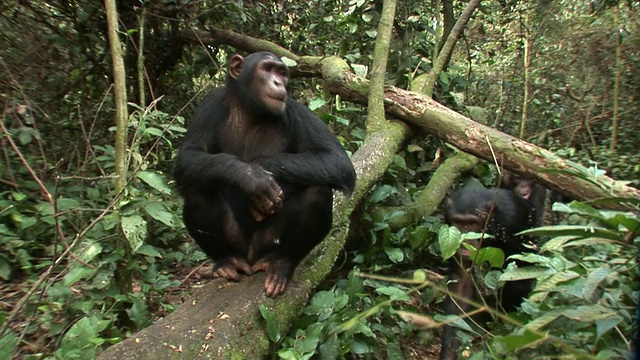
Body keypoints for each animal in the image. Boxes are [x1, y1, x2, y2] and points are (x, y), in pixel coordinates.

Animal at [172, 51, 358, 298]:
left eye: (282, 72)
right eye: (267, 69)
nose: (278, 82)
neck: (250, 109)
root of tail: (251, 259)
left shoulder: (296, 111)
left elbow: (336, 159)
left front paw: (260, 170)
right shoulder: (208, 105)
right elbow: (188, 155)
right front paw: (251, 177)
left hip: (268, 242)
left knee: (318, 190)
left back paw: (281, 263)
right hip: (238, 242)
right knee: (198, 189)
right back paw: (226, 261)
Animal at [440, 180, 536, 360]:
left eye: (472, 223)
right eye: (458, 222)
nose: (464, 239)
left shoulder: (513, 222)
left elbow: (517, 276)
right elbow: (461, 285)